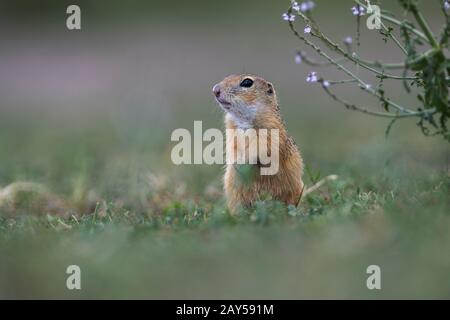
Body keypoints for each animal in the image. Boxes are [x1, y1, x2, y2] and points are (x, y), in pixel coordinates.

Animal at [212, 74, 304, 212]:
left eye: (247, 82)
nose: (215, 90)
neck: (243, 119)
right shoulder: (231, 132)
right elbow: (232, 149)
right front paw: (236, 163)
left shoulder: (271, 130)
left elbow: (264, 148)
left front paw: (244, 161)